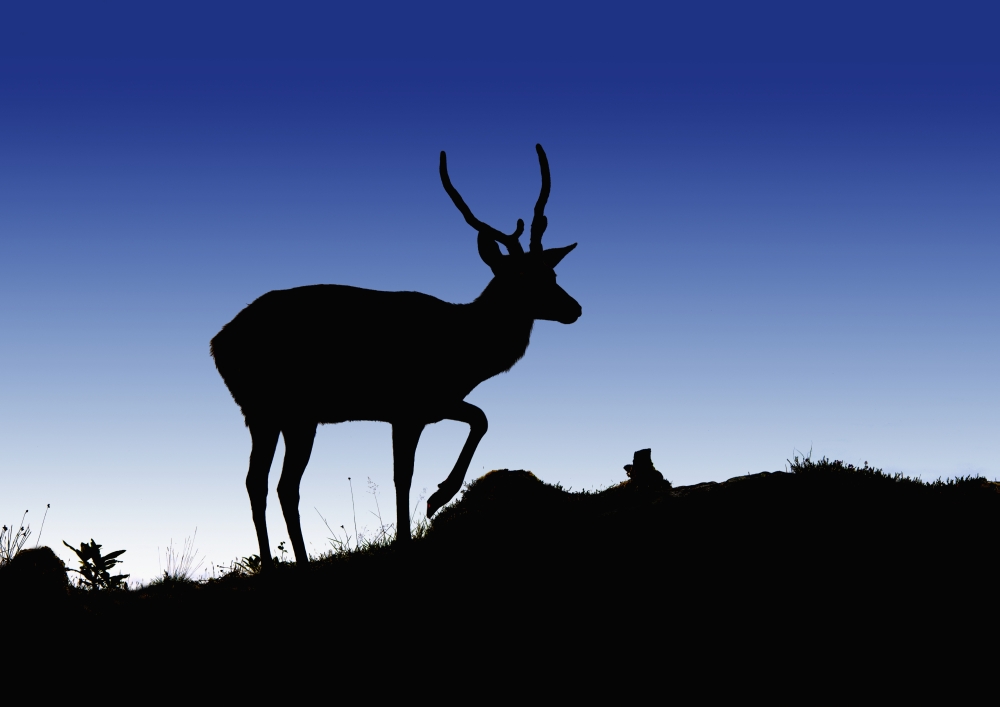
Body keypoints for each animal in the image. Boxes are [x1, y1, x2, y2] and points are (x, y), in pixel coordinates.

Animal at [210, 144, 581, 570]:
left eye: (551, 274)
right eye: (519, 277)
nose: (574, 308)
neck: (466, 351)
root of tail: (217, 344)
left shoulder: (431, 404)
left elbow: (478, 420)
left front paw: (436, 499)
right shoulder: (409, 406)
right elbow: (406, 472)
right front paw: (424, 515)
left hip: (276, 416)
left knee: (267, 483)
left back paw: (287, 564)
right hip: (281, 410)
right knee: (275, 484)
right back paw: (286, 564)